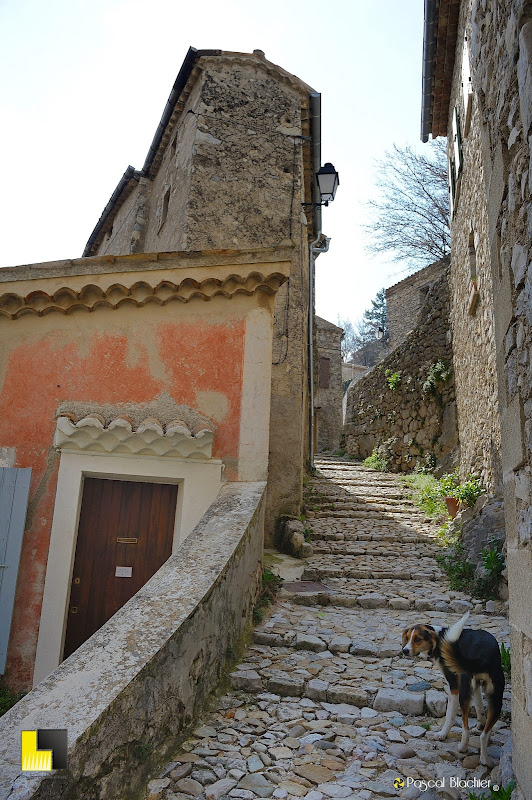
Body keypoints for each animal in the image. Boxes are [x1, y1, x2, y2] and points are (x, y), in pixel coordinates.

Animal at [402, 616, 504, 764]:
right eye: (408, 637)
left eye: (417, 639)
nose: (404, 650)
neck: (439, 637)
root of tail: (484, 657)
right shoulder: (476, 685)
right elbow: (479, 705)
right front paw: (481, 723)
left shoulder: (454, 686)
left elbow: (450, 715)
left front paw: (442, 734)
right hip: (496, 700)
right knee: (484, 735)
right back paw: (485, 758)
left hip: (464, 692)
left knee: (465, 726)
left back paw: (462, 747)